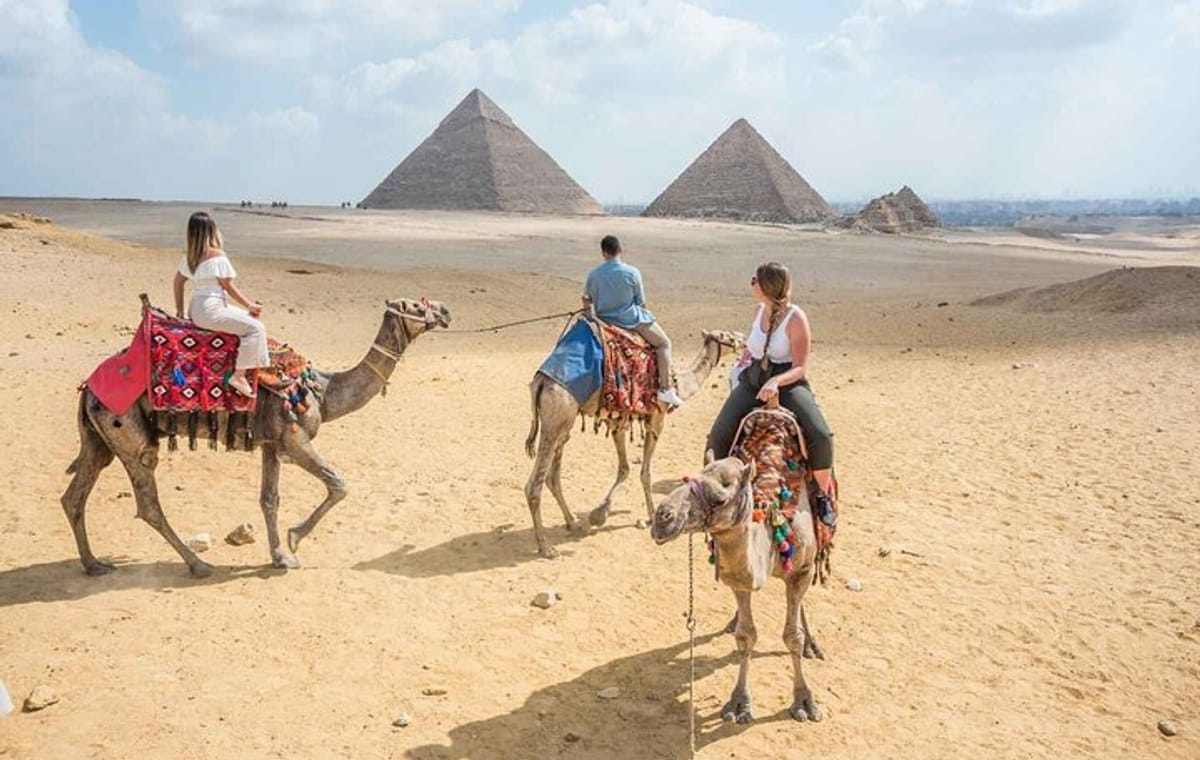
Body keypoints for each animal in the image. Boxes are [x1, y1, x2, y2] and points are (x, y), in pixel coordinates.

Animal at [61, 298, 451, 577]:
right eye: (416, 306)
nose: (446, 311)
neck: (323, 392)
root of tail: (87, 386)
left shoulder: (271, 443)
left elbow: (269, 499)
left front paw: (280, 556)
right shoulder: (294, 438)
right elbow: (339, 484)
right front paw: (294, 540)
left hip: (98, 439)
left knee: (75, 495)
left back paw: (94, 565)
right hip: (126, 430)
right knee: (148, 503)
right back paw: (198, 565)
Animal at [523, 327, 742, 559]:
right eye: (728, 336)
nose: (744, 340)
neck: (679, 382)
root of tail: (541, 381)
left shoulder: (618, 420)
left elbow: (624, 468)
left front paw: (600, 513)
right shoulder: (656, 419)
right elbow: (645, 473)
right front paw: (652, 515)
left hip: (563, 424)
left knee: (552, 477)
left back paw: (572, 522)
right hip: (556, 420)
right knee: (534, 486)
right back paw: (546, 547)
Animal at [651, 446, 823, 724]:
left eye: (720, 499)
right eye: (691, 478)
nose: (662, 517)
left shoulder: (802, 571)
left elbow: (792, 635)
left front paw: (805, 702)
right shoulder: (740, 581)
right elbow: (746, 636)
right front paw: (740, 704)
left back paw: (812, 644)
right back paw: (733, 621)